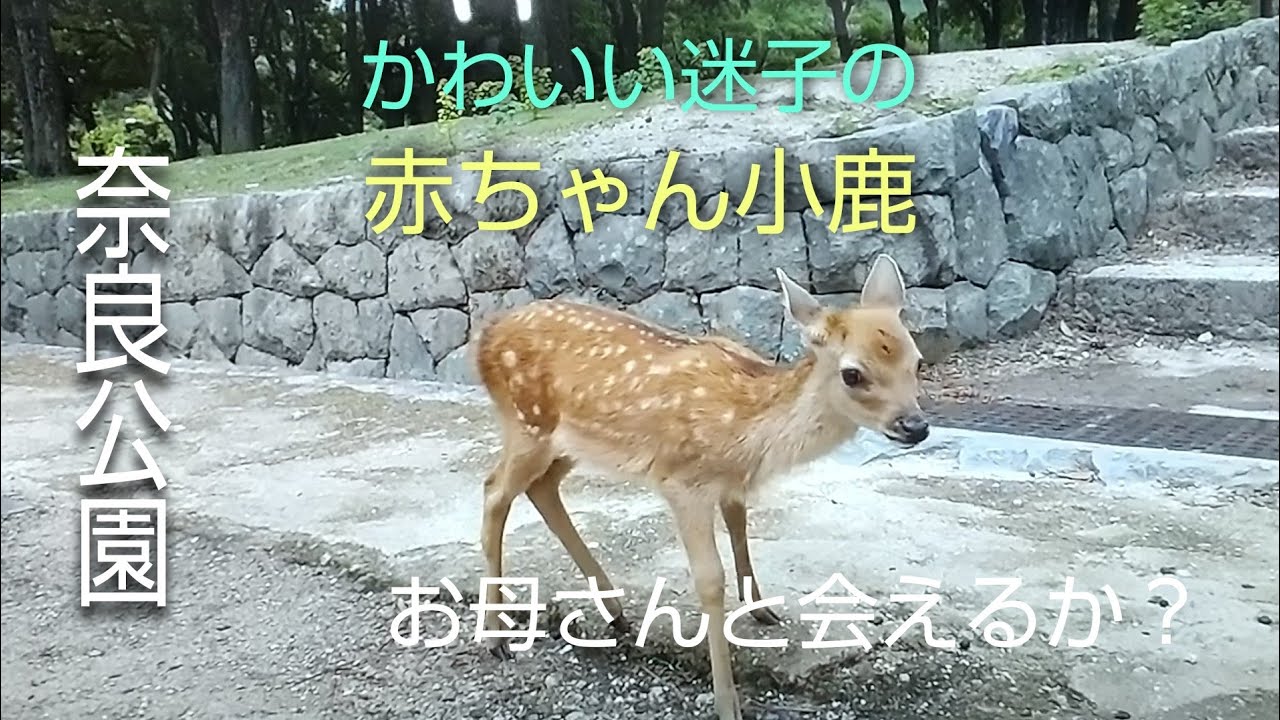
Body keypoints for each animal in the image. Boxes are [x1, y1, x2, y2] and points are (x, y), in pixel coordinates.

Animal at [471, 253, 932, 720]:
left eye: (917, 360)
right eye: (852, 374)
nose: (915, 426)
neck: (745, 430)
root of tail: (487, 335)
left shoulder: (730, 484)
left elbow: (741, 531)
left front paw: (763, 610)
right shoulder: (682, 481)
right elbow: (710, 580)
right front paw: (727, 702)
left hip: (569, 441)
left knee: (541, 488)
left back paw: (614, 609)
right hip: (527, 423)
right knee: (494, 491)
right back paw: (496, 637)